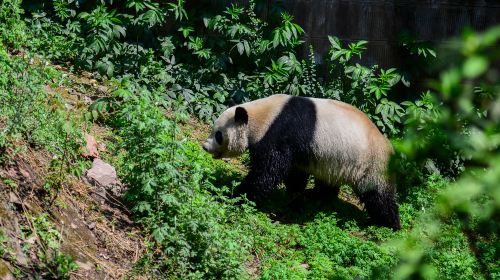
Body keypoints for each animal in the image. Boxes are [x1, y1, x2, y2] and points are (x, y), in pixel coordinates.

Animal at [201, 94, 400, 230]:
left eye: (218, 135)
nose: (205, 146)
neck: (264, 116)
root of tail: (391, 148)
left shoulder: (281, 133)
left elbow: (267, 172)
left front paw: (236, 196)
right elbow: (294, 173)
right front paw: (295, 197)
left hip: (372, 163)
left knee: (378, 195)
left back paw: (387, 224)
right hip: (333, 160)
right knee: (328, 182)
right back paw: (315, 196)